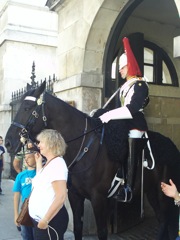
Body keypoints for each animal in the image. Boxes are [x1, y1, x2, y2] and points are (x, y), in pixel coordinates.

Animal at [4, 81, 180, 239]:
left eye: (27, 108)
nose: (7, 143)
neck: (84, 148)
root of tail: (172, 146)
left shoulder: (98, 199)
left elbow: (102, 232)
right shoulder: (75, 196)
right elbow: (78, 228)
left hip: (162, 191)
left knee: (165, 219)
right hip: (151, 190)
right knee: (162, 220)